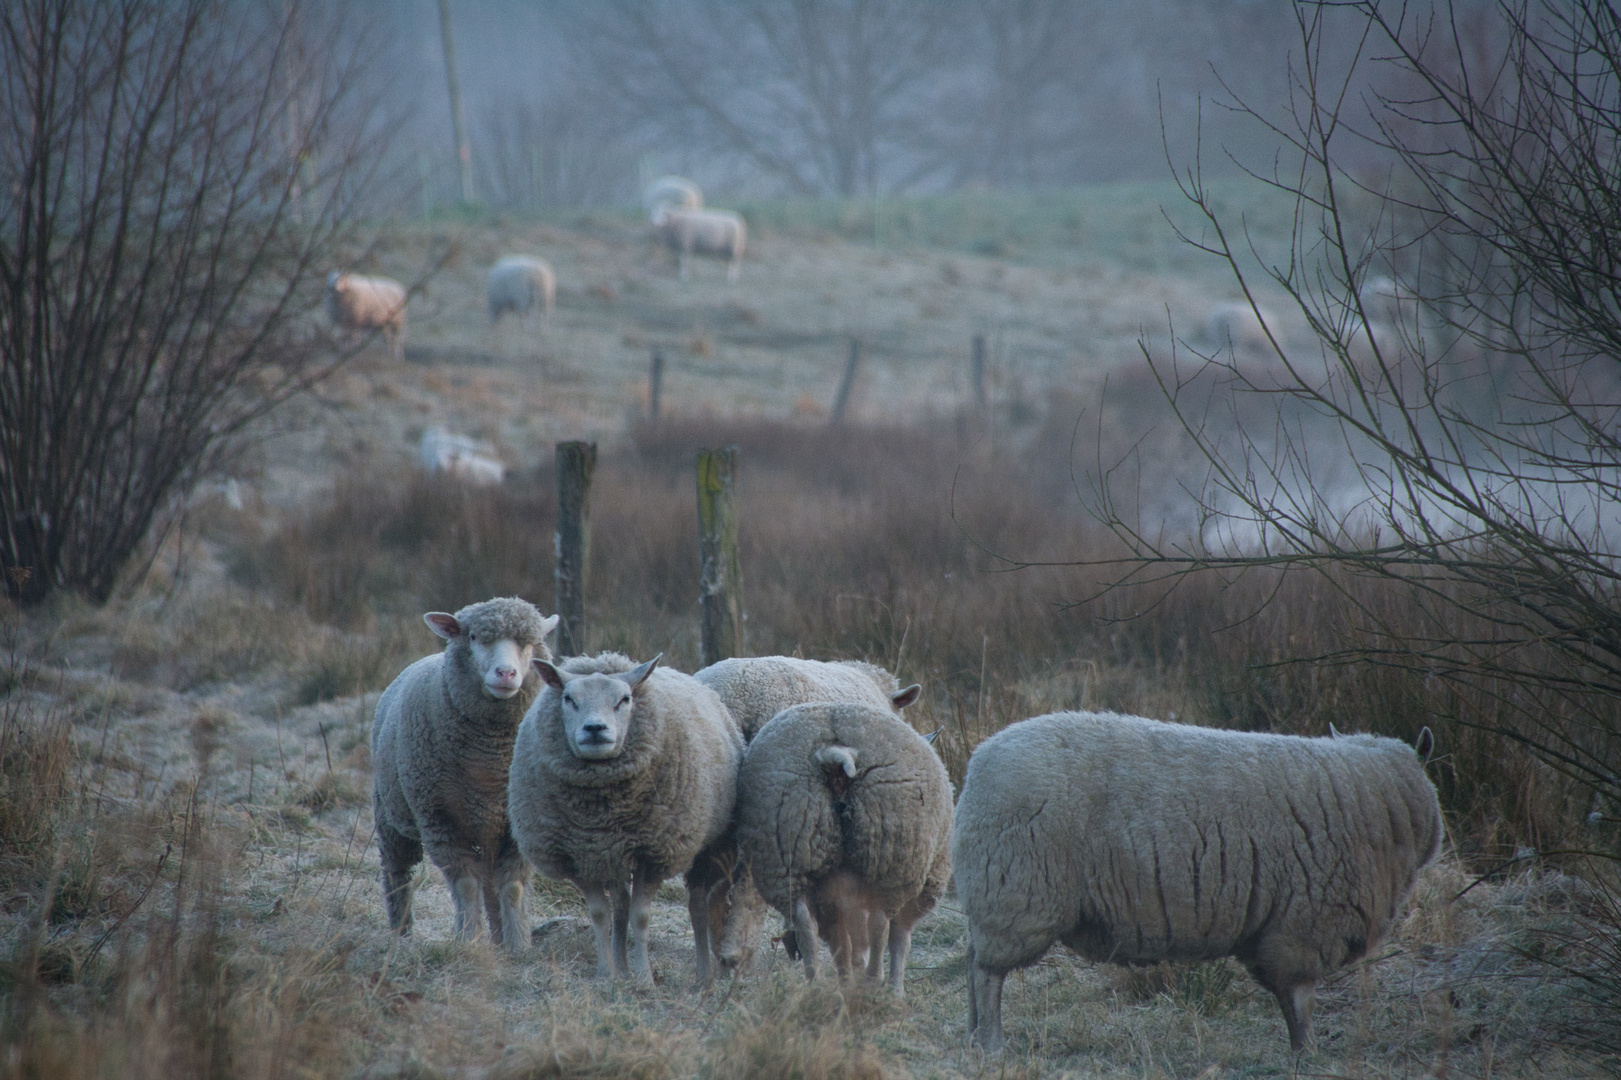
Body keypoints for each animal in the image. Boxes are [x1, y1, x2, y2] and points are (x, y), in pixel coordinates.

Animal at [371, 593, 560, 953]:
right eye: (474, 637)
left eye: (529, 643)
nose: (506, 673)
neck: (491, 762)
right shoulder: (440, 820)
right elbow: (466, 885)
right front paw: (468, 941)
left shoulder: (519, 822)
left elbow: (512, 886)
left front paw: (518, 946)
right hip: (391, 815)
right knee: (397, 872)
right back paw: (401, 932)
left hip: (487, 831)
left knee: (491, 882)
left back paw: (498, 939)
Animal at [505, 651, 745, 979]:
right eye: (569, 699)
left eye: (624, 699)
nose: (595, 729)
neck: (600, 814)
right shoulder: (577, 856)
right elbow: (600, 914)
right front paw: (606, 975)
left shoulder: (653, 853)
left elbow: (640, 917)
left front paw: (644, 978)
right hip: (611, 855)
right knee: (620, 904)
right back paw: (620, 966)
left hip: (708, 845)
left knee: (698, 906)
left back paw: (703, 976)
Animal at [726, 697, 946, 992]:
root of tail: (837, 754)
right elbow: (900, 937)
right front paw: (894, 989)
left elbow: (845, 937)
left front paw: (849, 976)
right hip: (888, 858)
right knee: (879, 924)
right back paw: (872, 980)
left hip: (790, 850)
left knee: (806, 924)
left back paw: (816, 984)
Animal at [946, 710, 1445, 1044]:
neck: (1379, 804)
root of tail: (977, 762)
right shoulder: (1301, 928)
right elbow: (1299, 1005)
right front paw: (1307, 1054)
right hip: (1017, 896)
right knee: (986, 974)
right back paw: (991, 1043)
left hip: (997, 897)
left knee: (972, 964)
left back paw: (972, 1038)